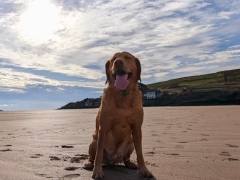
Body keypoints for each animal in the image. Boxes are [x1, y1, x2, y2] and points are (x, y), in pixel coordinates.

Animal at [83, 51, 153, 179]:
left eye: (128, 57)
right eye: (113, 59)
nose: (118, 62)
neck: (122, 94)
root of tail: (113, 160)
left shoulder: (137, 127)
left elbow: (140, 153)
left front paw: (144, 170)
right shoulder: (103, 127)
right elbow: (98, 154)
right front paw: (97, 171)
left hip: (130, 144)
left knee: (126, 158)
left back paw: (130, 163)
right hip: (93, 142)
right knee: (92, 156)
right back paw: (89, 164)